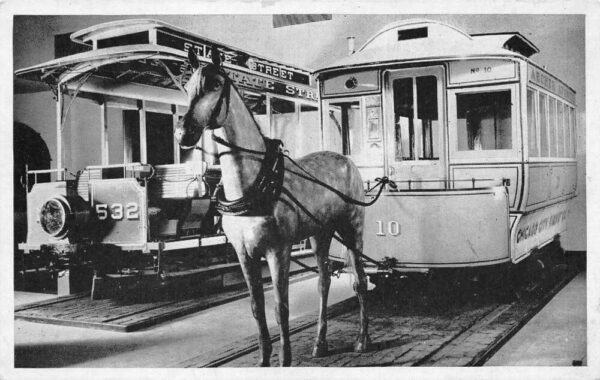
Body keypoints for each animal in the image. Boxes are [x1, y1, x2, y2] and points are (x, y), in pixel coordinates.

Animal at [175, 49, 370, 366]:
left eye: (215, 84)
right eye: (188, 85)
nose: (183, 134)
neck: (254, 182)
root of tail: (347, 160)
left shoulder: (278, 251)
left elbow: (281, 308)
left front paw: (284, 359)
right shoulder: (244, 254)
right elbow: (257, 308)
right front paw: (264, 360)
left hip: (352, 230)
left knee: (360, 281)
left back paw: (363, 340)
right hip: (321, 234)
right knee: (324, 282)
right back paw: (320, 343)